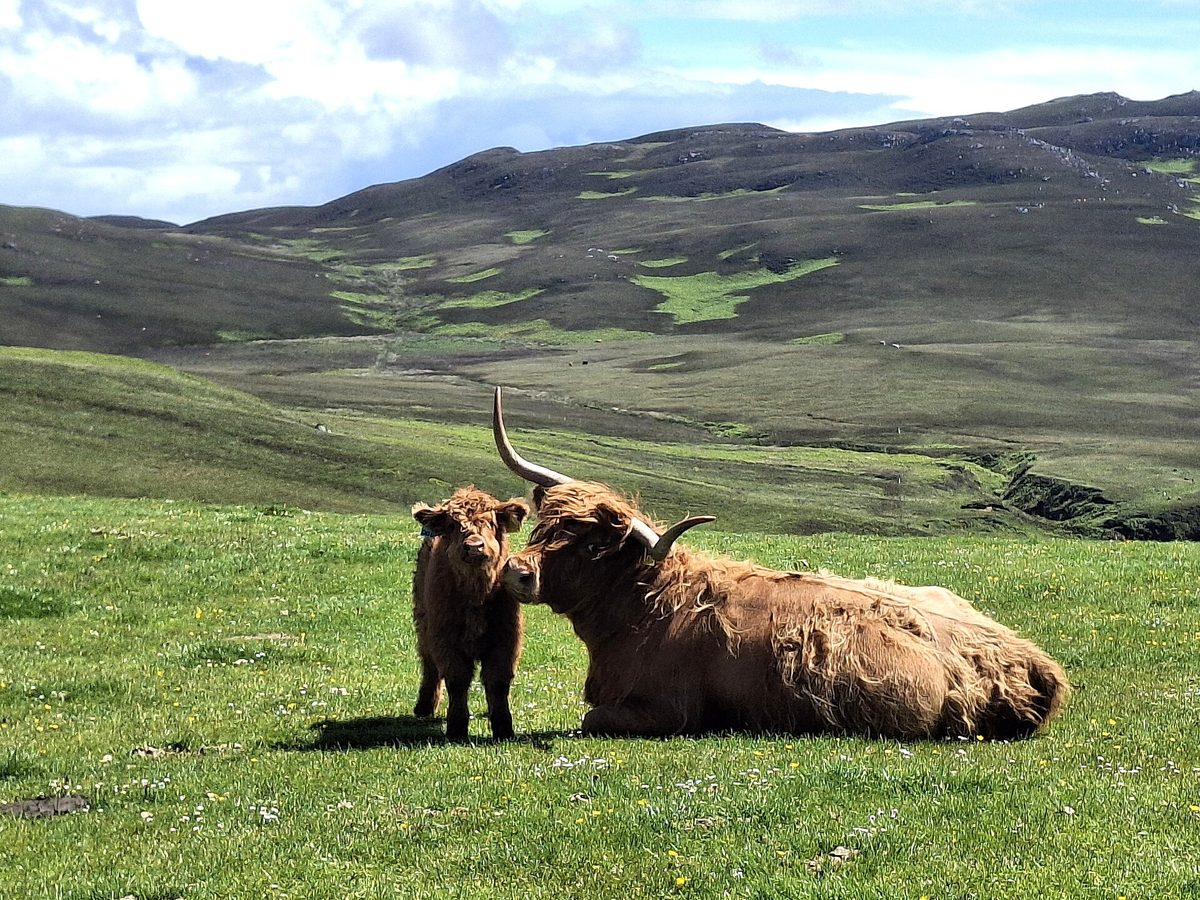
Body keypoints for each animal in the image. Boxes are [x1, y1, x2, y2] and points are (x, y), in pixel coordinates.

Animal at [411, 486, 529, 741]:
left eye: (491, 522)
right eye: (454, 525)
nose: (474, 546)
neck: (477, 593)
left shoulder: (506, 640)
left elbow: (497, 681)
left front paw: (503, 728)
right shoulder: (446, 640)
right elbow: (457, 680)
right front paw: (456, 728)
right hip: (423, 622)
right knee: (429, 664)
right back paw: (424, 706)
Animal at [491, 388, 1069, 740]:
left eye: (592, 546)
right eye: (545, 527)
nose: (518, 573)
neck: (644, 608)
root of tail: (1031, 660)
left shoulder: (667, 711)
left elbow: (592, 719)